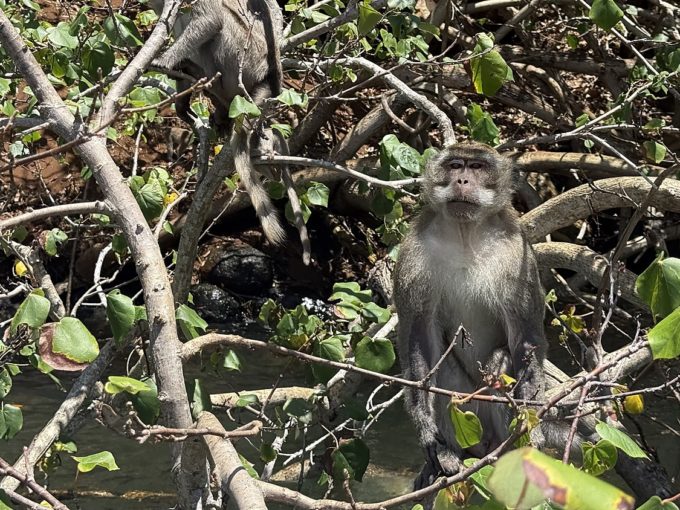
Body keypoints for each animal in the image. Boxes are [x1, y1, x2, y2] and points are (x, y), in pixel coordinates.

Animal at [149, 0, 312, 260]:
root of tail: (267, 82)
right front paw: (181, 104)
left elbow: (209, 21)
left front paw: (165, 60)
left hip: (244, 61)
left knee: (218, 27)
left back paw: (204, 77)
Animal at [393, 142, 547, 490]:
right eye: (455, 165)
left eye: (476, 167)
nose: (462, 180)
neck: (465, 233)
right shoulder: (413, 253)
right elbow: (420, 336)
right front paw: (426, 429)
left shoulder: (517, 252)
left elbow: (525, 330)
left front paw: (531, 407)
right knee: (441, 369)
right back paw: (449, 455)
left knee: (501, 360)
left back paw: (511, 452)